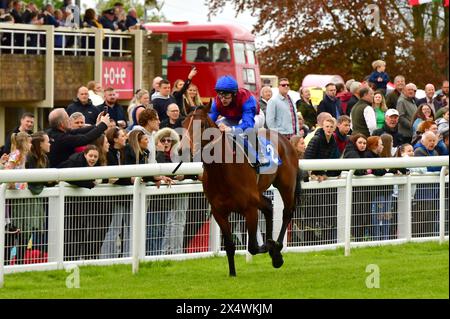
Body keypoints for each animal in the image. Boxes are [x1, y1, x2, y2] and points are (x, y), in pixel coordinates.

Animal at [181, 106, 300, 276]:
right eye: (183, 124)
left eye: (202, 125)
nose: (183, 150)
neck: (223, 170)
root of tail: (285, 140)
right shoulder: (219, 212)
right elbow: (230, 246)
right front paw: (232, 273)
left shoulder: (249, 209)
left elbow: (253, 247)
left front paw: (270, 246)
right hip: (257, 194)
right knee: (268, 206)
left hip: (286, 185)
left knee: (287, 213)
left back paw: (277, 251)